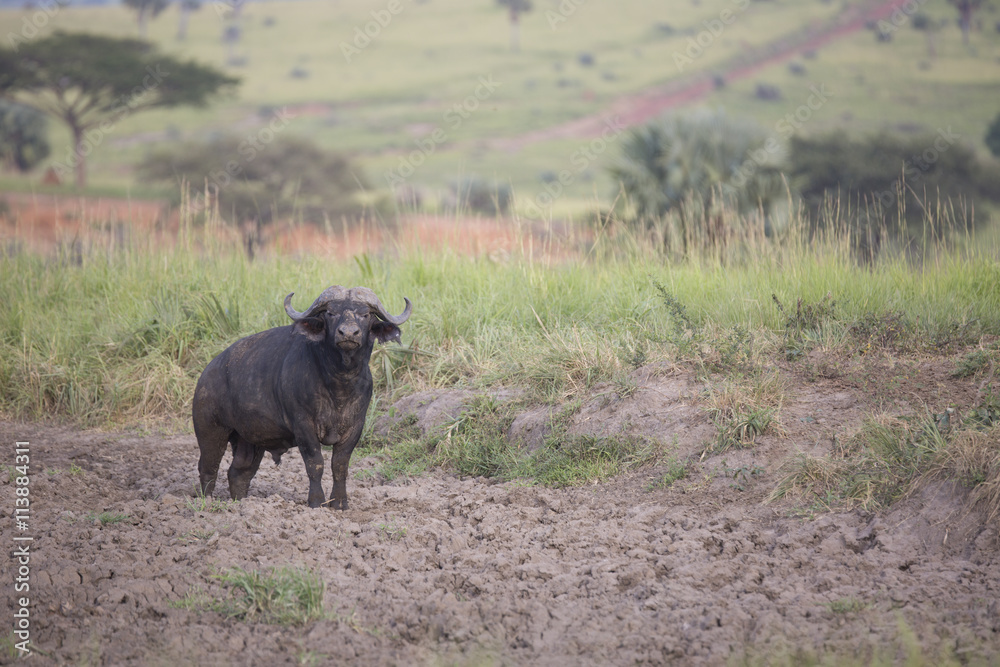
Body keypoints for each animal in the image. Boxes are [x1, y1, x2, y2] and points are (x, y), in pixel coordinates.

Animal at [193, 286, 411, 509]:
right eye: (330, 313)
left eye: (366, 314)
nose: (348, 333)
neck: (339, 383)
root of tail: (207, 373)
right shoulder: (303, 426)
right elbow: (315, 463)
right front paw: (316, 501)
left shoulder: (355, 426)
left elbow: (340, 465)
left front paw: (340, 502)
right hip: (211, 430)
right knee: (208, 468)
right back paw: (207, 502)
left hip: (249, 438)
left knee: (239, 472)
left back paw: (242, 502)